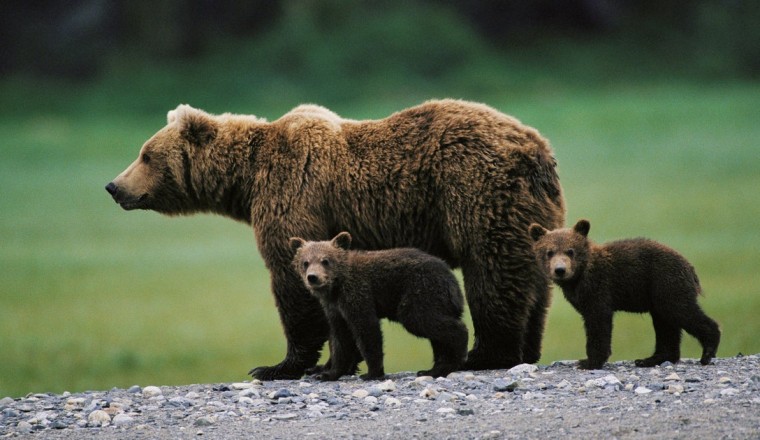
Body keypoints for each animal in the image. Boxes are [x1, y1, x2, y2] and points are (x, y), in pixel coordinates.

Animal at [289, 232, 468, 380]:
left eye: (325, 260)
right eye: (305, 262)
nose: (313, 277)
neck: (336, 288)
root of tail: (453, 280)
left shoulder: (357, 294)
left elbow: (367, 330)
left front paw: (372, 373)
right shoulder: (334, 309)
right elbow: (340, 339)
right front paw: (328, 373)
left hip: (421, 291)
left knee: (423, 320)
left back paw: (453, 358)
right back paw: (433, 369)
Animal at [529, 219, 721, 370]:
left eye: (570, 250)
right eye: (549, 252)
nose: (560, 270)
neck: (578, 278)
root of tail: (690, 267)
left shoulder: (599, 289)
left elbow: (598, 323)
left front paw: (589, 361)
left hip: (666, 283)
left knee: (681, 311)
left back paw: (708, 351)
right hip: (658, 295)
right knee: (666, 324)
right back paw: (650, 359)